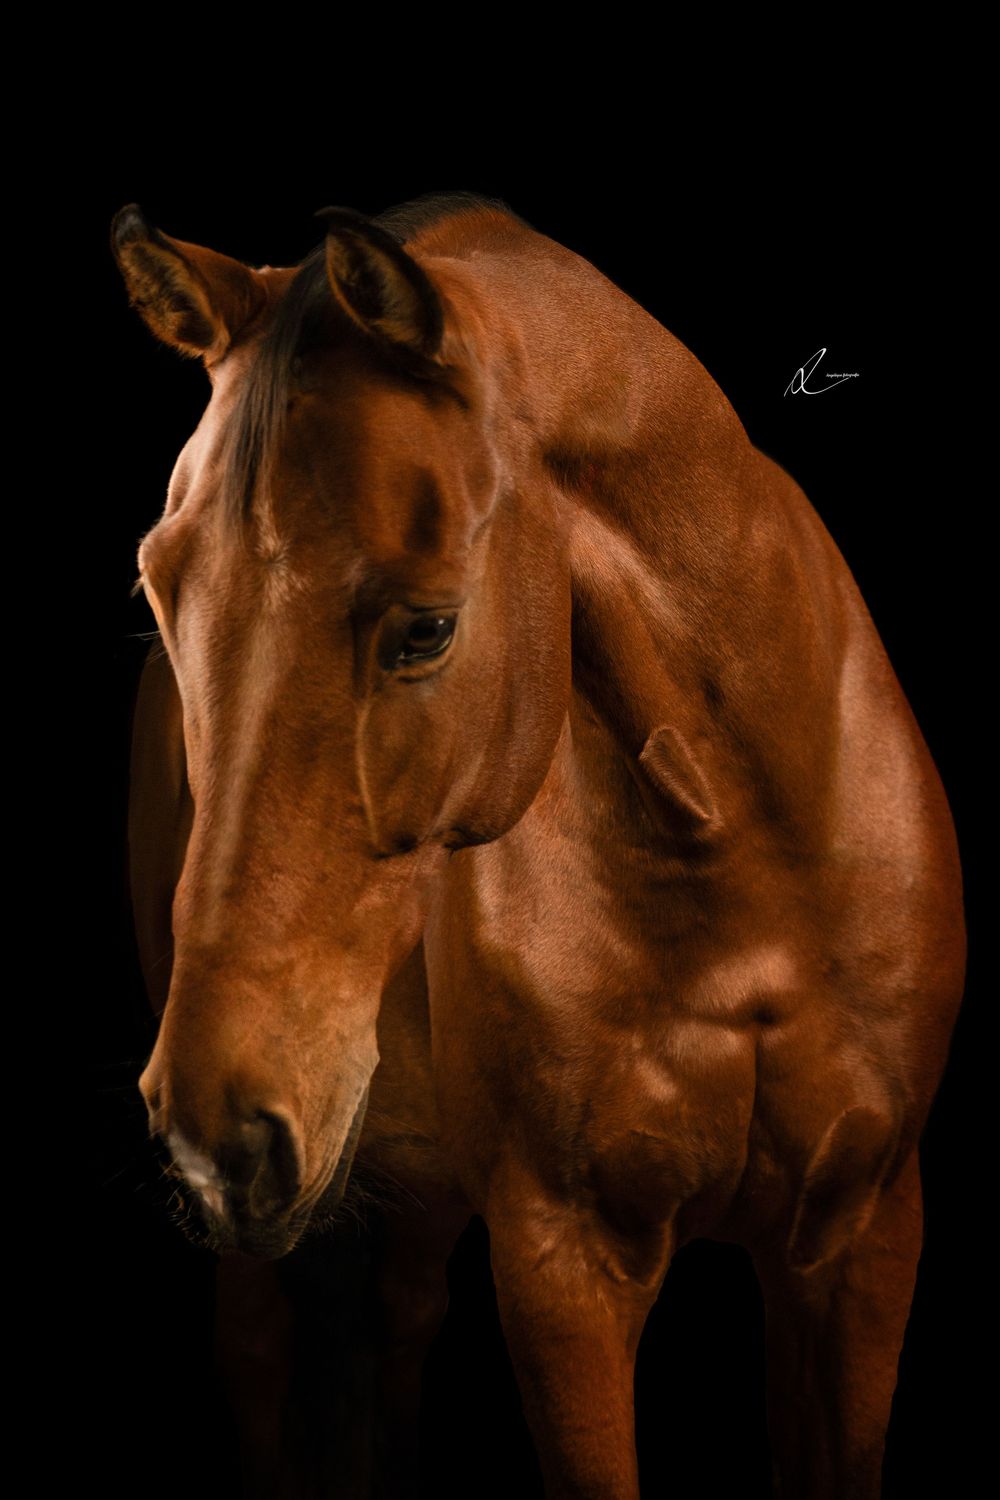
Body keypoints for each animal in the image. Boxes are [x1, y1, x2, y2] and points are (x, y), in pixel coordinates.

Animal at [113, 189, 966, 1499]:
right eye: (160, 591)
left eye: (427, 629)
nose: (220, 1131)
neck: (745, 863)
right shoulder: (563, 1261)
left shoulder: (860, 1236)